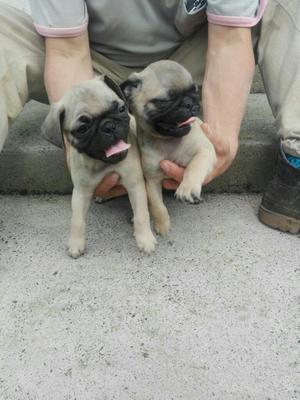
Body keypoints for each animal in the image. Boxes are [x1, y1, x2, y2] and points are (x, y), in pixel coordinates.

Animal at [42, 77, 157, 258]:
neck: (103, 163)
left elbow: (141, 214)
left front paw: (145, 239)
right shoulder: (81, 192)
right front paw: (76, 243)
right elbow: (77, 220)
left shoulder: (135, 185)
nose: (108, 126)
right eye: (82, 129)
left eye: (121, 109)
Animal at [120, 61, 217, 236]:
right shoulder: (152, 181)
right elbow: (158, 206)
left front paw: (188, 187)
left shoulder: (205, 151)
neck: (168, 140)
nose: (190, 103)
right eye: (164, 100)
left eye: (195, 91)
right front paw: (162, 226)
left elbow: (194, 166)